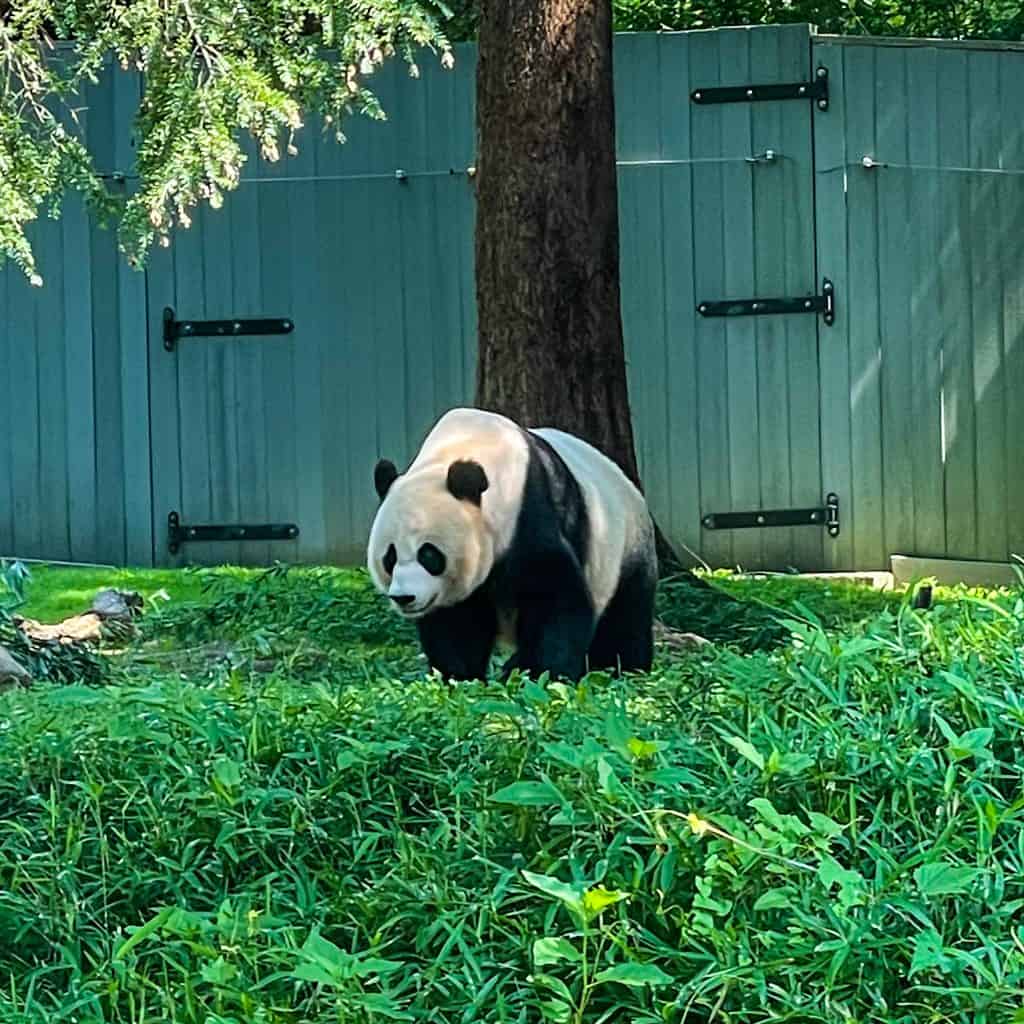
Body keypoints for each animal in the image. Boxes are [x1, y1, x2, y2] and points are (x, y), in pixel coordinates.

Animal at [368, 405, 655, 679]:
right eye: (390, 557)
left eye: (428, 554)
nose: (404, 597)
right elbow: (454, 623)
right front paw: (458, 677)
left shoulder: (528, 515)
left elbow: (555, 597)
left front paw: (545, 673)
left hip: (624, 546)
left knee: (624, 618)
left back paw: (622, 668)